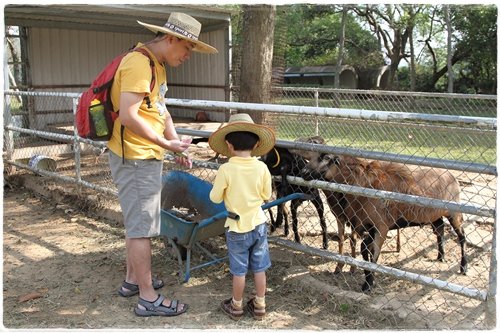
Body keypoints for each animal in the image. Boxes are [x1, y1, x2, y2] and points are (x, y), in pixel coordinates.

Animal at [300, 152, 468, 292]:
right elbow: (364, 249)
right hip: (434, 216)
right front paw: (367, 277)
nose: (303, 172)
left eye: (326, 157)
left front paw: (368, 285)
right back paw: (441, 257)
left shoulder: (382, 226)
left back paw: (464, 267)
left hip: (454, 213)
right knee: (440, 230)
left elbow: (374, 253)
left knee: (461, 236)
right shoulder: (368, 226)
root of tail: (452, 176)